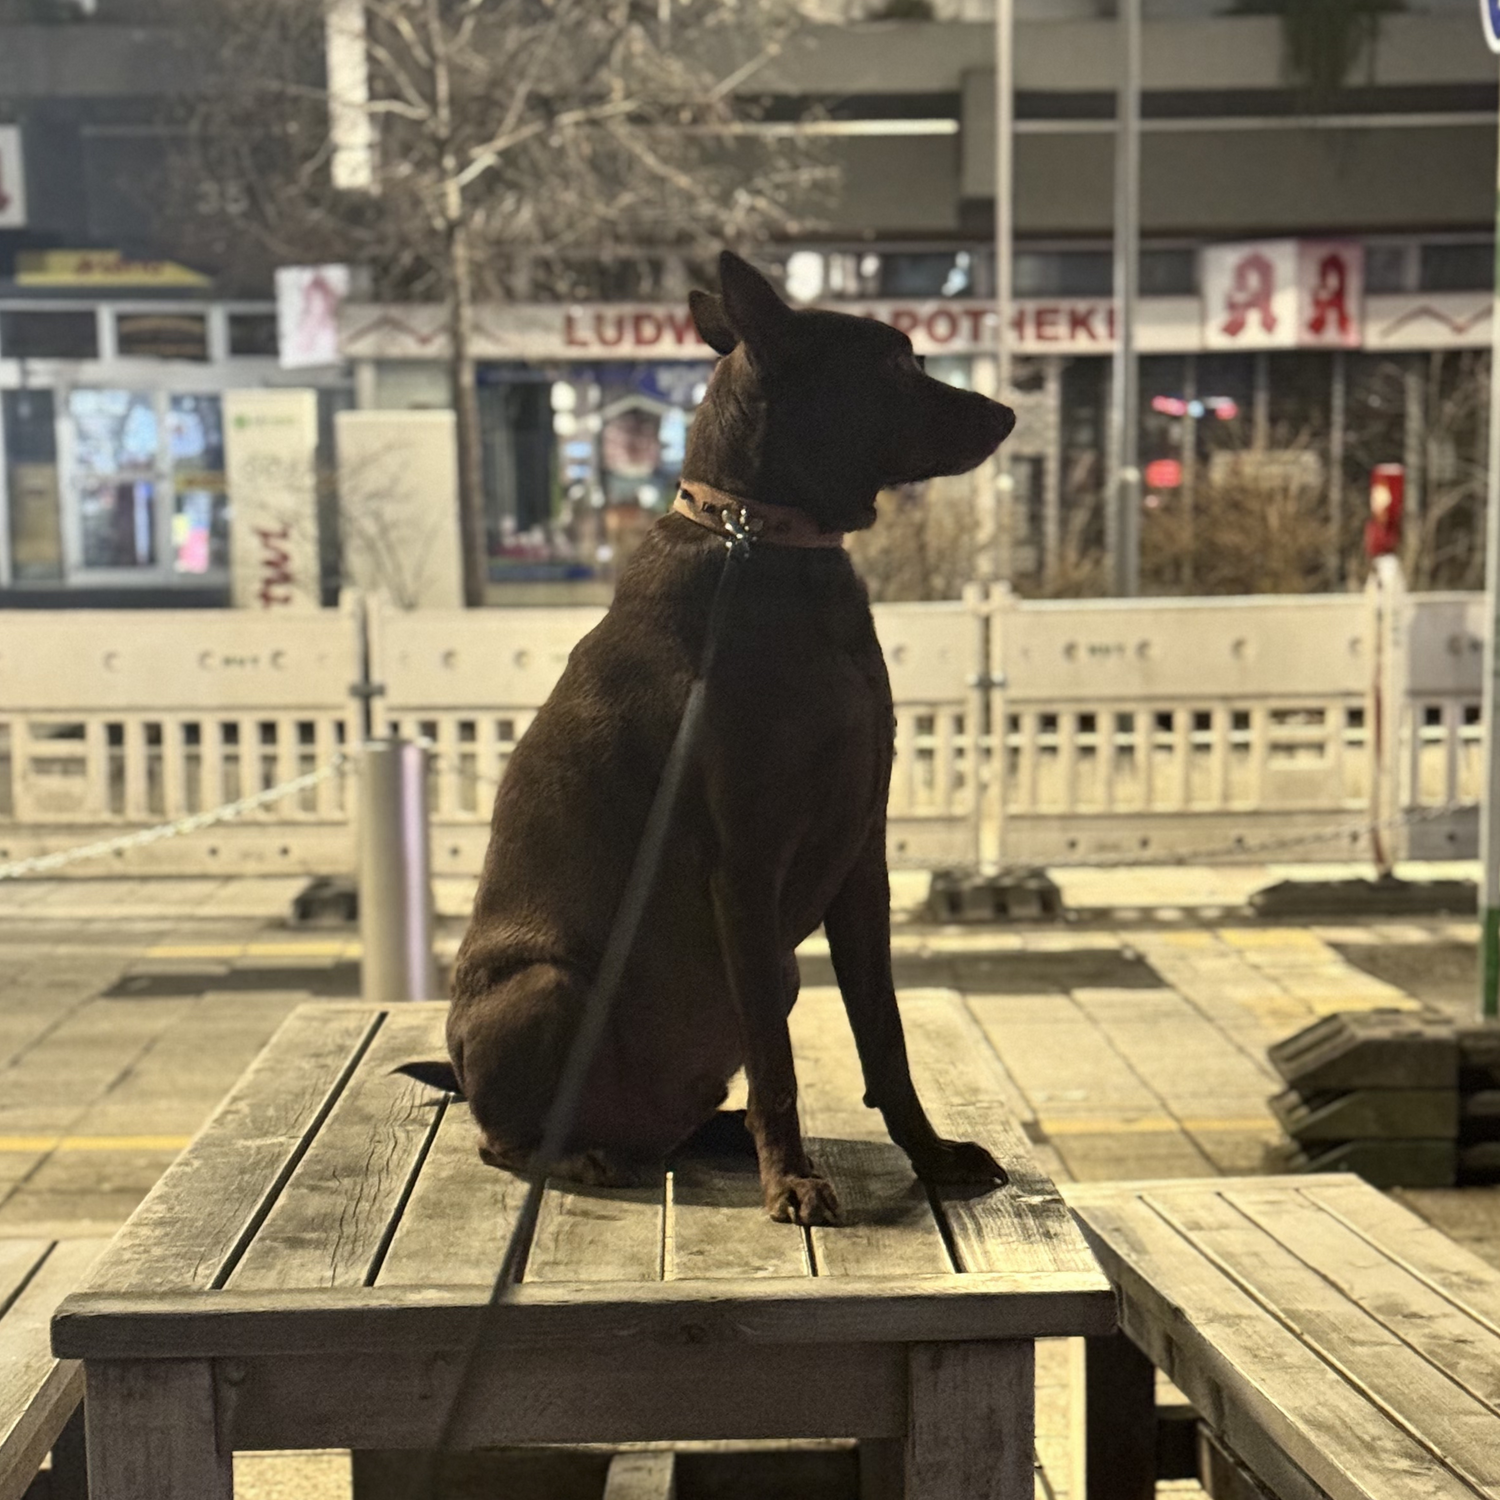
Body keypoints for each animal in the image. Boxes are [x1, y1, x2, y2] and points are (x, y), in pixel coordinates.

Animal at [442, 251, 1016, 1224]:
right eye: (898, 364)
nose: (1008, 412)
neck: (768, 542)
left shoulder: (861, 857)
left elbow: (885, 1035)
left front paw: (931, 1153)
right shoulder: (744, 863)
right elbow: (780, 1065)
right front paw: (791, 1179)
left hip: (775, 974)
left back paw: (705, 1135)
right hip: (551, 986)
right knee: (501, 1137)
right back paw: (588, 1153)